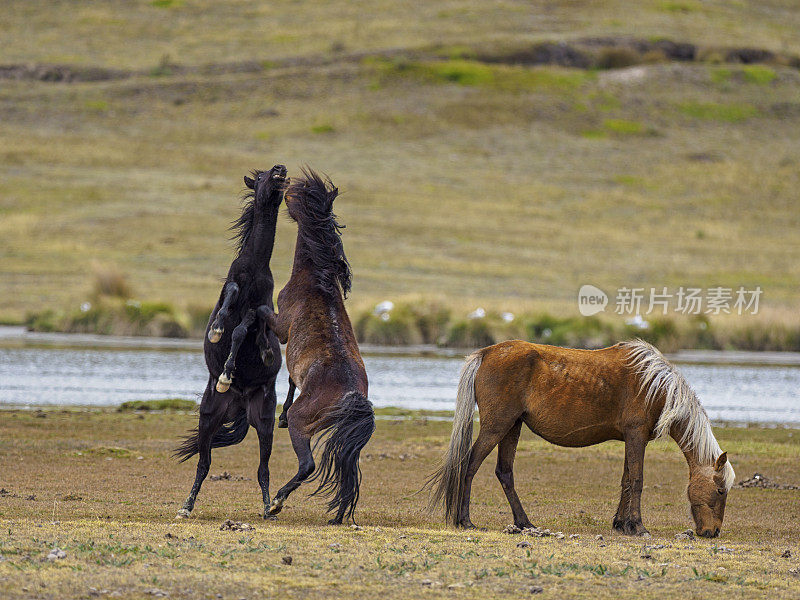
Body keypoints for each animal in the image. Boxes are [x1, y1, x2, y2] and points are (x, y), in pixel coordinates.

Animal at [173, 164, 286, 520]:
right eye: (261, 176)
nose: (280, 169)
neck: (255, 267)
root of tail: (239, 402)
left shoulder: (259, 308)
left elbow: (247, 326)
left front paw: (248, 358)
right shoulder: (230, 287)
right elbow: (229, 306)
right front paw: (217, 333)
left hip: (264, 421)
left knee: (263, 468)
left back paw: (268, 507)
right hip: (208, 417)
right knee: (204, 463)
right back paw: (186, 507)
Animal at [260, 169, 376, 524]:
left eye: (298, 193)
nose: (283, 183)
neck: (316, 280)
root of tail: (352, 397)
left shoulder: (282, 326)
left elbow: (262, 315)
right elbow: (289, 379)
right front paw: (281, 414)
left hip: (305, 426)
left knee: (308, 465)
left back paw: (275, 503)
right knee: (346, 469)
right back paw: (338, 514)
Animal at [428, 338, 736, 540]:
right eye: (721, 491)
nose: (712, 532)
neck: (655, 385)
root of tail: (487, 352)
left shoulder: (631, 439)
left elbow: (626, 480)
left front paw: (621, 524)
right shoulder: (636, 436)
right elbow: (637, 481)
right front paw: (638, 527)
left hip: (512, 427)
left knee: (504, 472)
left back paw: (524, 523)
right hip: (497, 426)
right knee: (469, 466)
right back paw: (466, 521)